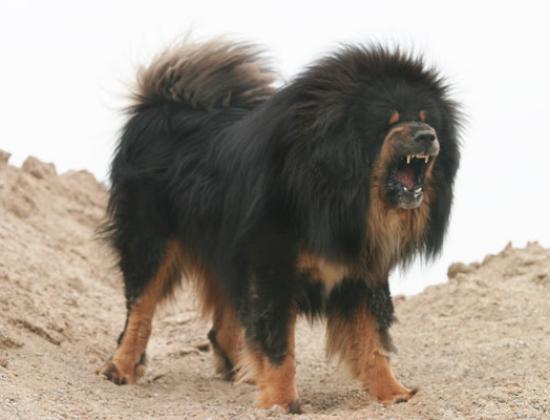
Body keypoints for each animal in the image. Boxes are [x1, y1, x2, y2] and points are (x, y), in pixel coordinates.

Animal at [98, 38, 461, 412]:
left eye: (426, 119)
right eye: (390, 122)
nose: (427, 135)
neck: (335, 195)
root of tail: (157, 105)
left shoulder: (361, 274)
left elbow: (373, 342)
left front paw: (393, 393)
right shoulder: (273, 270)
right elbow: (278, 346)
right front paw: (282, 403)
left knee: (222, 327)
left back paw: (241, 373)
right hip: (151, 241)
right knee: (140, 308)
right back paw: (120, 368)